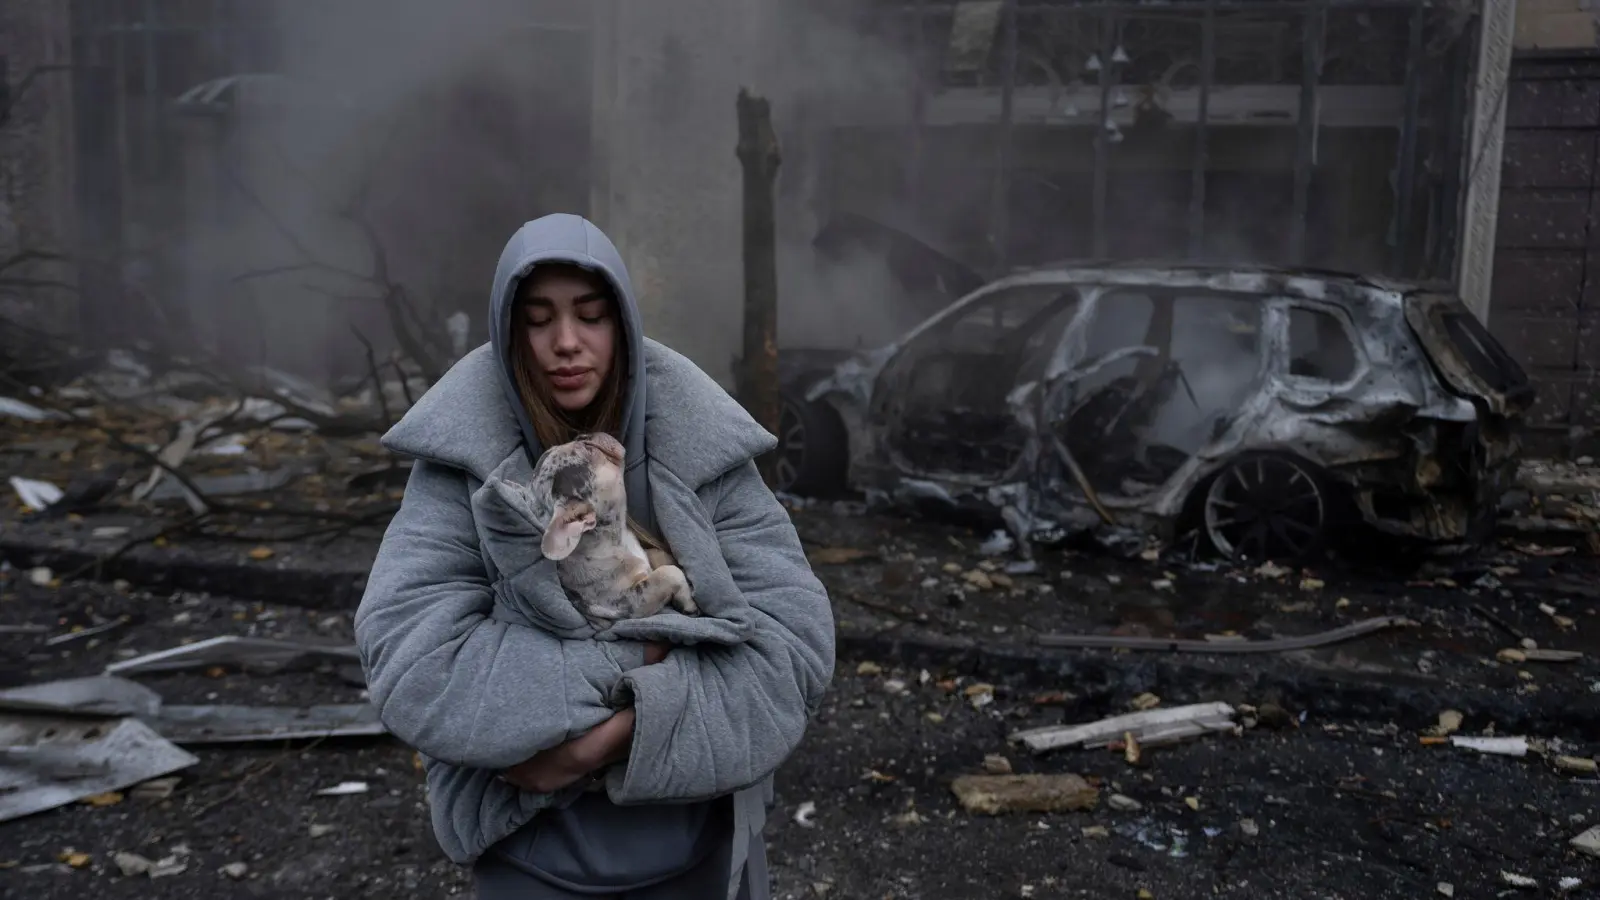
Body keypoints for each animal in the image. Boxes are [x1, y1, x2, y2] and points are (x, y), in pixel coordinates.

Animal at [524, 432, 700, 627]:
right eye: (589, 449)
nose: (584, 435)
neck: (615, 537)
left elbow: (659, 555)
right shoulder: (627, 602)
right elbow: (669, 572)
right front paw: (688, 603)